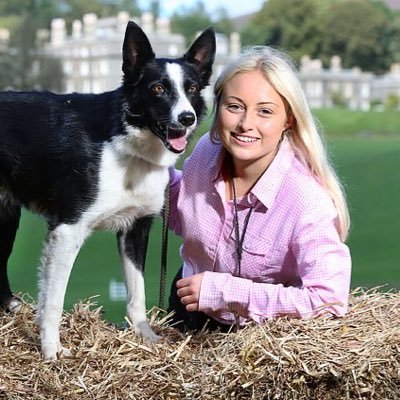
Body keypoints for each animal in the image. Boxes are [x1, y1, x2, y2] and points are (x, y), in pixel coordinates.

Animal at [0, 21, 216, 360]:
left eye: (192, 89)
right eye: (157, 88)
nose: (186, 118)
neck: (124, 142)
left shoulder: (136, 228)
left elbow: (137, 292)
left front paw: (145, 337)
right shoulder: (68, 229)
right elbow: (54, 300)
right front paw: (51, 350)